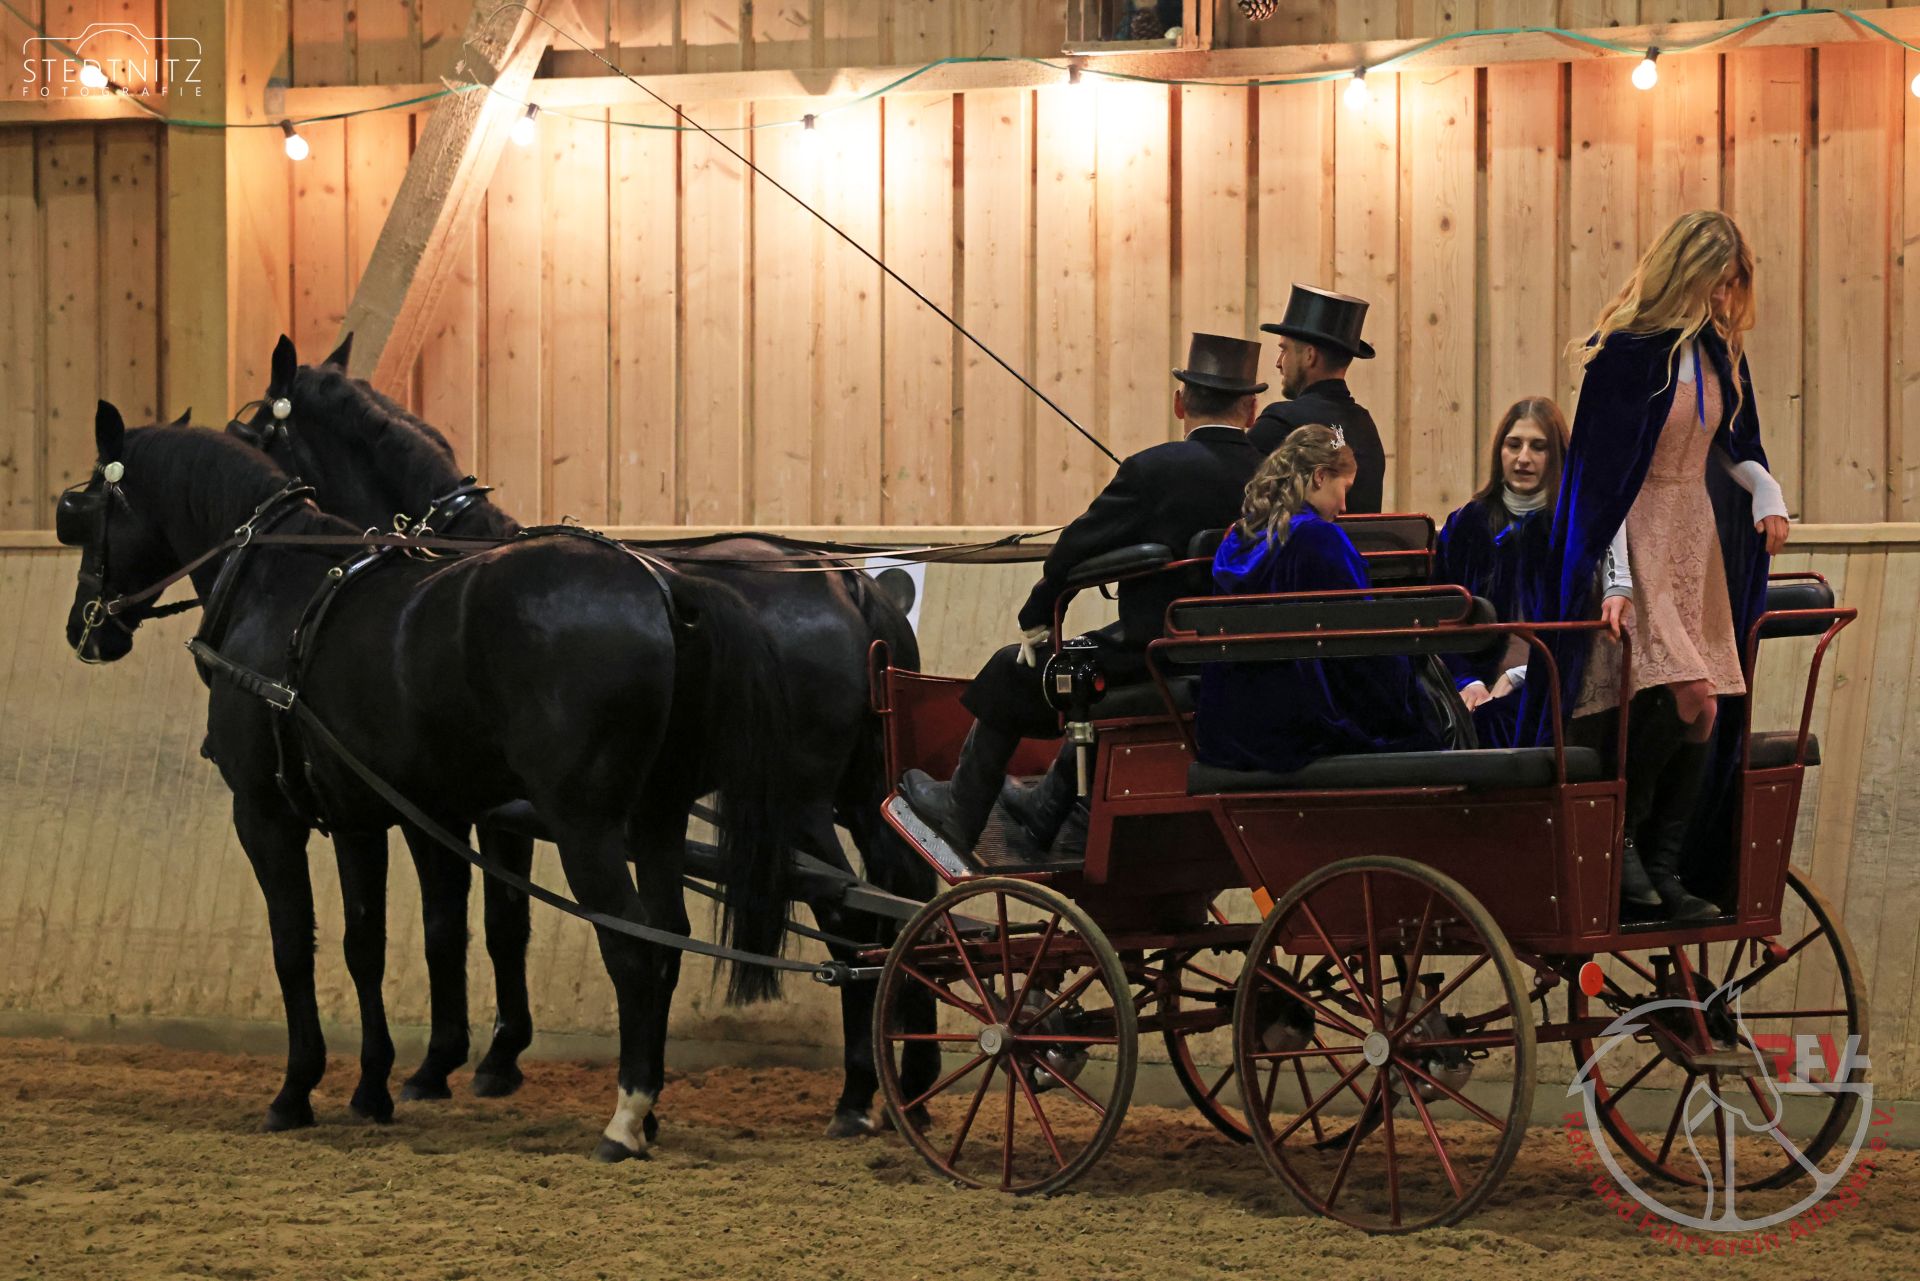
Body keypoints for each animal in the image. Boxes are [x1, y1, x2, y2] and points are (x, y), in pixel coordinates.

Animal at [58, 402, 794, 1161]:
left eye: (76, 512)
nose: (85, 628)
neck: (275, 585)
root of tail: (663, 583)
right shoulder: (359, 815)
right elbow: (367, 944)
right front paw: (371, 1087)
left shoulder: (264, 813)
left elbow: (293, 944)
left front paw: (295, 1091)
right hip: (656, 815)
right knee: (669, 938)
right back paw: (645, 1111)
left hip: (584, 825)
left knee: (631, 943)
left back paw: (625, 1118)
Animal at [230, 334, 939, 1135]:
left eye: (252, 433)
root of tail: (847, 582)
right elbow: (505, 921)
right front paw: (493, 1058)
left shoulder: (450, 809)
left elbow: (468, 923)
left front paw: (452, 1062)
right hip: (863, 795)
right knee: (906, 897)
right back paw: (911, 1079)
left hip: (801, 802)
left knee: (849, 913)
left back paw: (856, 1093)